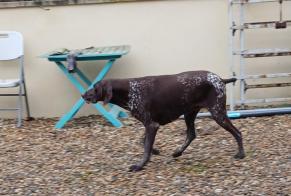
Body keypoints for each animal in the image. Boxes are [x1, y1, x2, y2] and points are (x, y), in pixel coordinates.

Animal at [82, 71, 246, 172]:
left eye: (95, 88)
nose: (83, 95)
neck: (130, 90)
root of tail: (220, 79)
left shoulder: (151, 125)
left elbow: (145, 147)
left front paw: (140, 165)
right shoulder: (149, 125)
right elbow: (144, 142)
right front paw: (154, 151)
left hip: (217, 113)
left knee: (237, 132)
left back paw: (241, 154)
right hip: (189, 114)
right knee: (191, 134)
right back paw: (178, 152)